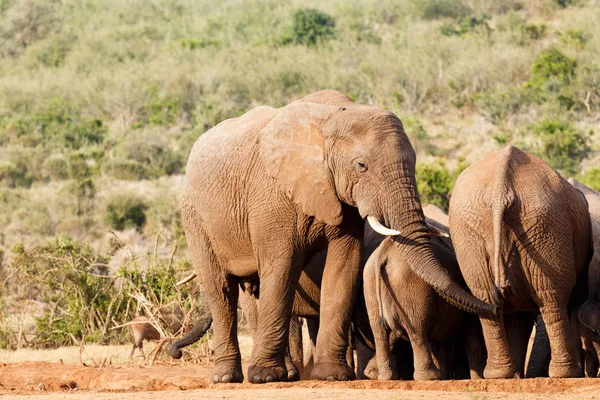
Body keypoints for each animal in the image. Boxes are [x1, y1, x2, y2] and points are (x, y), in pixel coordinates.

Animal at [182, 90, 496, 384]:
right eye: (361, 166)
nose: (495, 304)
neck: (334, 117)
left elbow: (344, 265)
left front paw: (332, 375)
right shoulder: (271, 194)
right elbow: (281, 267)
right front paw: (266, 377)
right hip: (195, 217)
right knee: (220, 289)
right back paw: (227, 378)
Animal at [446, 145, 592, 378]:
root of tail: (500, 190)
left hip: (482, 231)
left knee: (488, 299)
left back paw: (499, 375)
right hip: (541, 226)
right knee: (552, 299)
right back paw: (567, 374)